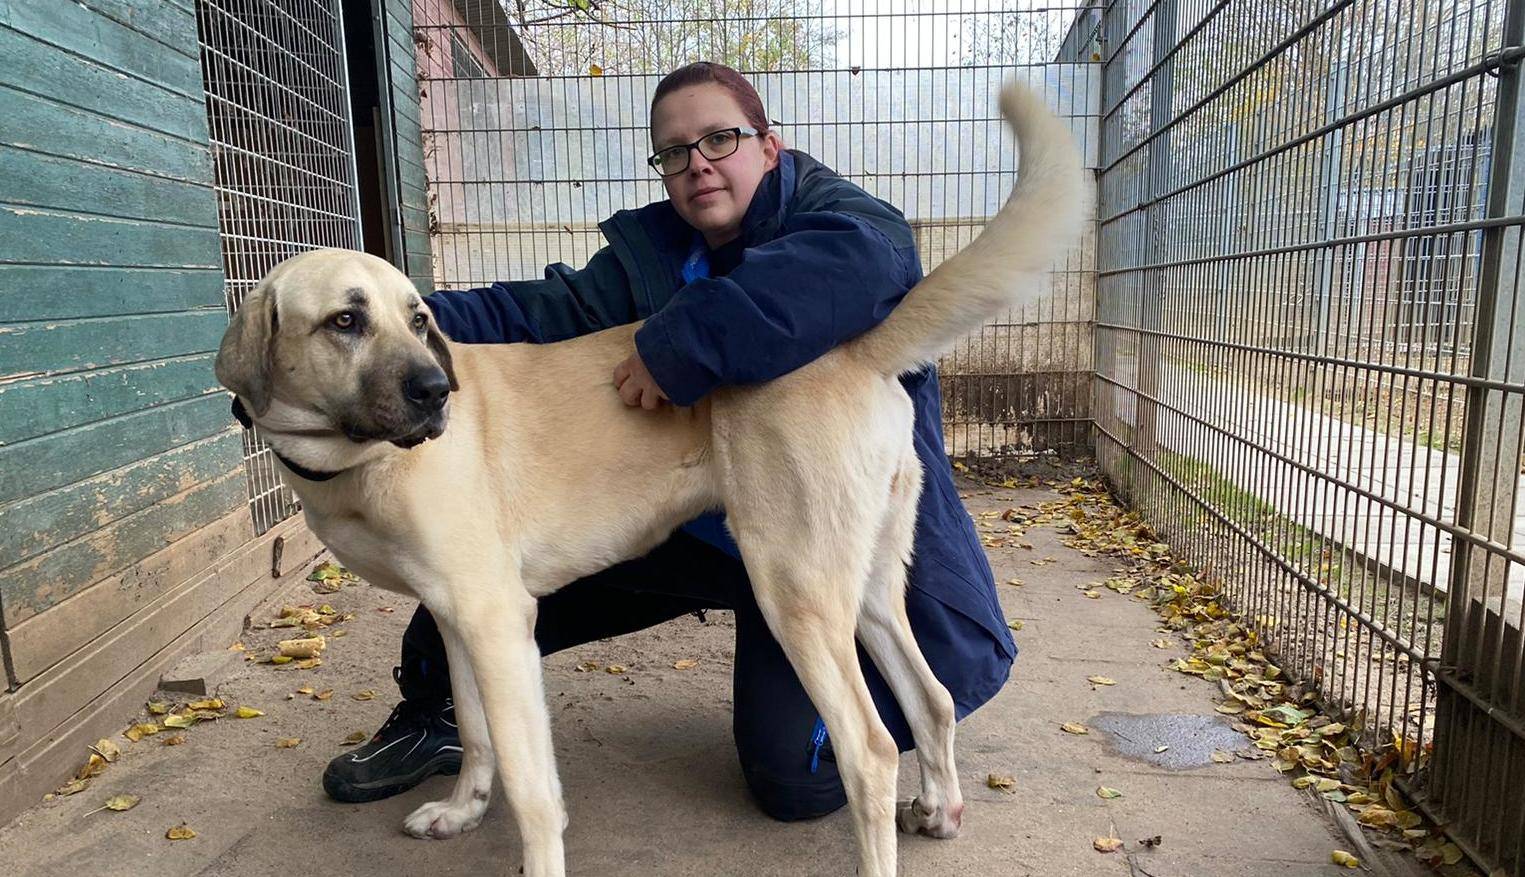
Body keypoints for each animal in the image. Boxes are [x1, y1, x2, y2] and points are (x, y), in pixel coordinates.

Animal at [215, 83, 1091, 877]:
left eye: (417, 318)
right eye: (346, 320)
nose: (437, 392)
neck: (353, 461)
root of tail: (852, 346)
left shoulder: (497, 620)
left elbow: (534, 789)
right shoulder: (460, 617)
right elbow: (477, 734)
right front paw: (461, 810)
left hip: (796, 592)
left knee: (871, 748)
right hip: (868, 585)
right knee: (933, 697)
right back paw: (939, 808)